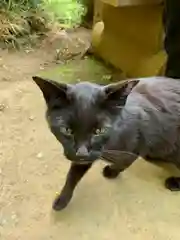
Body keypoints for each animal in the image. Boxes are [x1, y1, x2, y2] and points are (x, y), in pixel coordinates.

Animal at [32, 76, 180, 211]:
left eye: (99, 130)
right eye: (67, 130)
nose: (81, 153)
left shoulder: (134, 148)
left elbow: (125, 161)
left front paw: (112, 171)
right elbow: (73, 175)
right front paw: (63, 199)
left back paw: (174, 182)